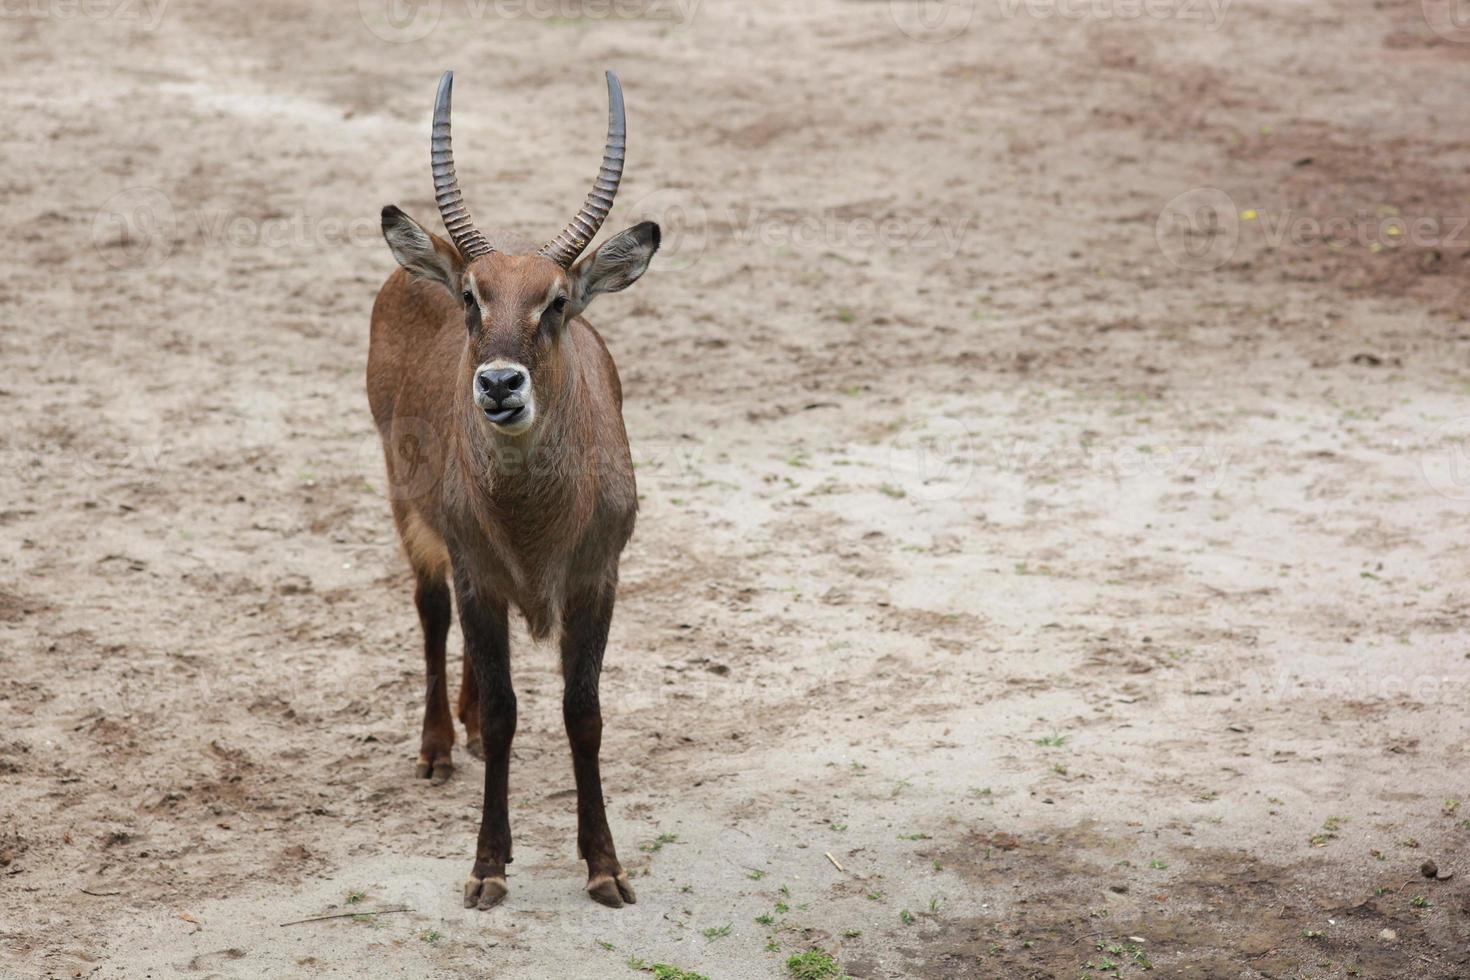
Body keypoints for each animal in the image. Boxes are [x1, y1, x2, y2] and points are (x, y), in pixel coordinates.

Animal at [367, 69, 661, 910]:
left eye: (555, 301)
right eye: (473, 297)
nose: (500, 385)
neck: (534, 521)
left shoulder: (597, 578)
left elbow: (583, 713)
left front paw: (605, 867)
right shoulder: (476, 571)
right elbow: (504, 713)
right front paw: (488, 867)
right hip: (408, 508)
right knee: (431, 611)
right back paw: (439, 746)